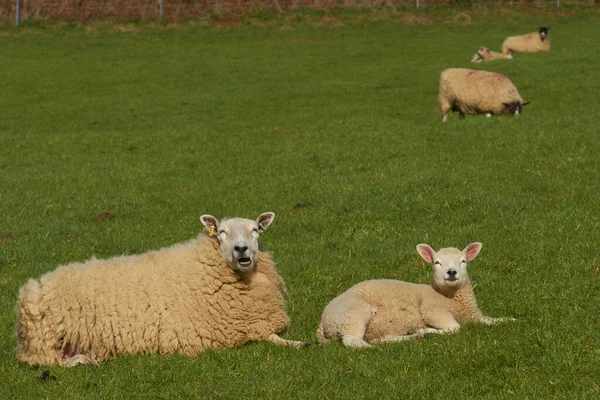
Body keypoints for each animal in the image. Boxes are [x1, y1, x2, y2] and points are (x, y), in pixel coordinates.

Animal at [16, 212, 308, 366]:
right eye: (222, 232)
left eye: (256, 229)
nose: (241, 249)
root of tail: (34, 287)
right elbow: (272, 338)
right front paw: (299, 344)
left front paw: (299, 342)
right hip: (46, 342)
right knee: (50, 361)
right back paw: (84, 361)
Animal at [314, 242, 516, 348]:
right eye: (436, 263)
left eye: (463, 261)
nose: (451, 272)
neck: (449, 298)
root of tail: (323, 322)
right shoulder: (432, 310)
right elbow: (454, 328)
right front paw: (427, 330)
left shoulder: (476, 316)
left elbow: (494, 320)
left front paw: (512, 320)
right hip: (353, 313)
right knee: (353, 341)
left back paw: (410, 337)